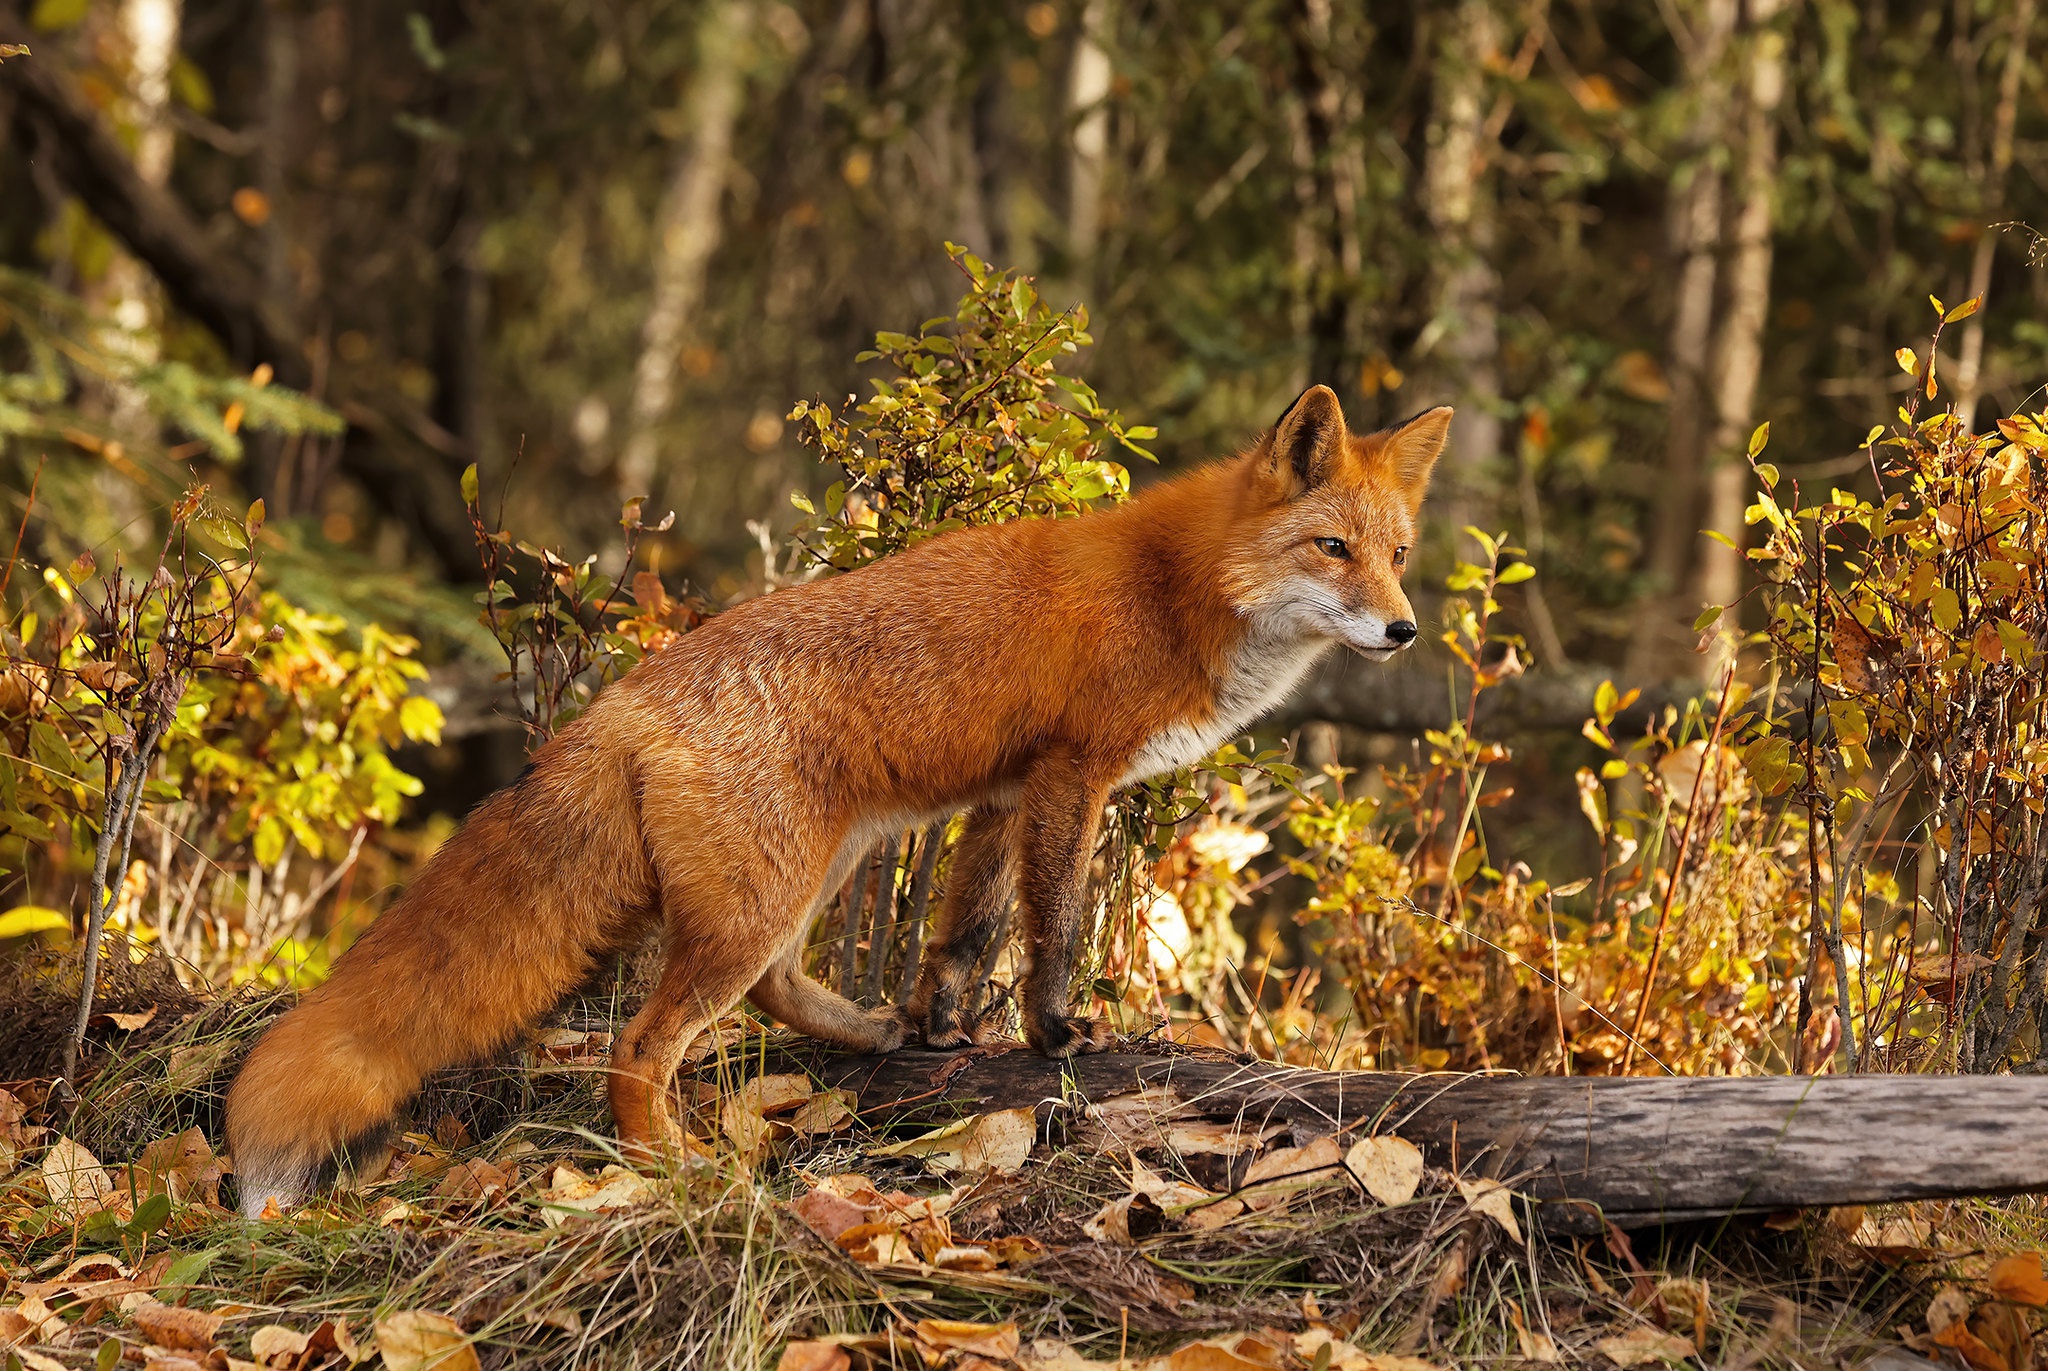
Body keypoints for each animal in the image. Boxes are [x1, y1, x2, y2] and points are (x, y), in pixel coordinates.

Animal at [224, 383, 1449, 1205]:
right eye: (1330, 548)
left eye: (1396, 555)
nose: (1402, 631)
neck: (1176, 588)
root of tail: (623, 701)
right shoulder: (1072, 773)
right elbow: (1050, 927)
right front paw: (1055, 1032)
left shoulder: (1003, 792)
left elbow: (964, 931)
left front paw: (946, 1026)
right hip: (767, 896)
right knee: (643, 1047)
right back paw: (673, 1170)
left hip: (812, 869)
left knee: (772, 991)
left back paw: (867, 1036)